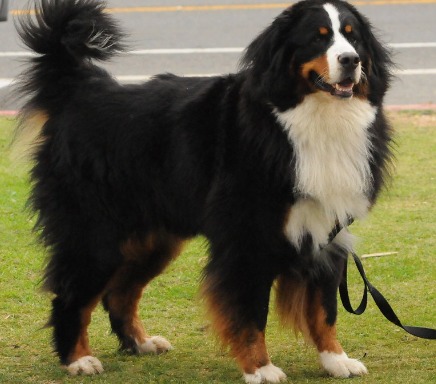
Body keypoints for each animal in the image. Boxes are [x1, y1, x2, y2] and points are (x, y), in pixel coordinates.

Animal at [15, 0, 394, 382]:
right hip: (95, 235)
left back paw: (141, 343)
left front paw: (336, 360)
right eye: (318, 39)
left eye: (353, 38)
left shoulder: (327, 231)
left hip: (153, 238)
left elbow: (324, 308)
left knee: (120, 293)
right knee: (71, 295)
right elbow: (250, 313)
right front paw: (261, 368)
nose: (350, 60)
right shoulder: (247, 240)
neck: (315, 121)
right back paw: (77, 359)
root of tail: (79, 90)